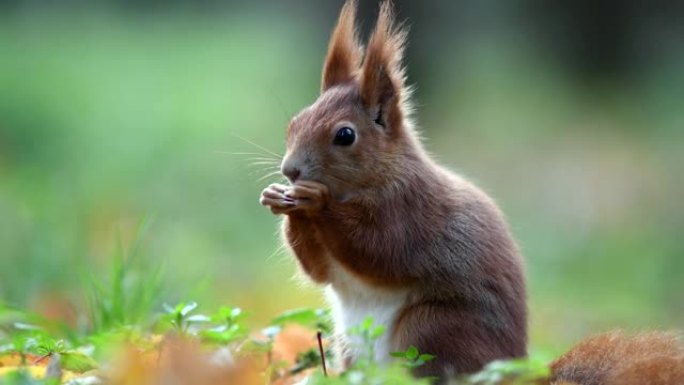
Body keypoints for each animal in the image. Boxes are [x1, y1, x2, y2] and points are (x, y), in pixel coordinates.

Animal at [260, 0, 680, 380]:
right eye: (295, 122)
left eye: (345, 135)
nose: (290, 170)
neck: (375, 178)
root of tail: (513, 373)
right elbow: (319, 270)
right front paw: (280, 200)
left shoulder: (410, 209)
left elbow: (380, 249)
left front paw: (317, 202)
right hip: (351, 346)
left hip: (430, 327)